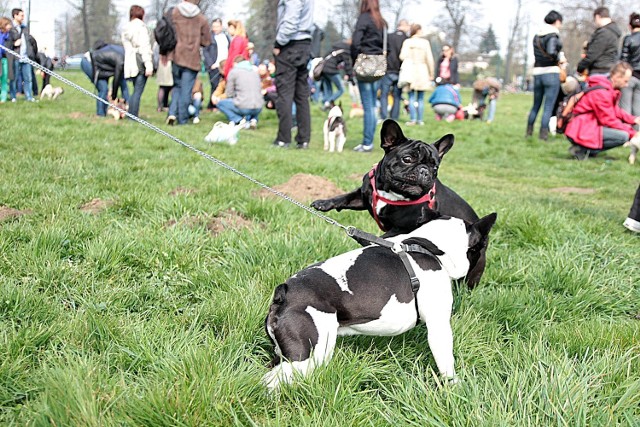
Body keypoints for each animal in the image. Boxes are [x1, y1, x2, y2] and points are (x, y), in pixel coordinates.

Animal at [262, 212, 498, 392]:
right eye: (484, 246)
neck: (431, 246)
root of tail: (285, 292)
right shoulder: (438, 326)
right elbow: (447, 362)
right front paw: (456, 386)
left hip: (285, 352)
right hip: (310, 354)